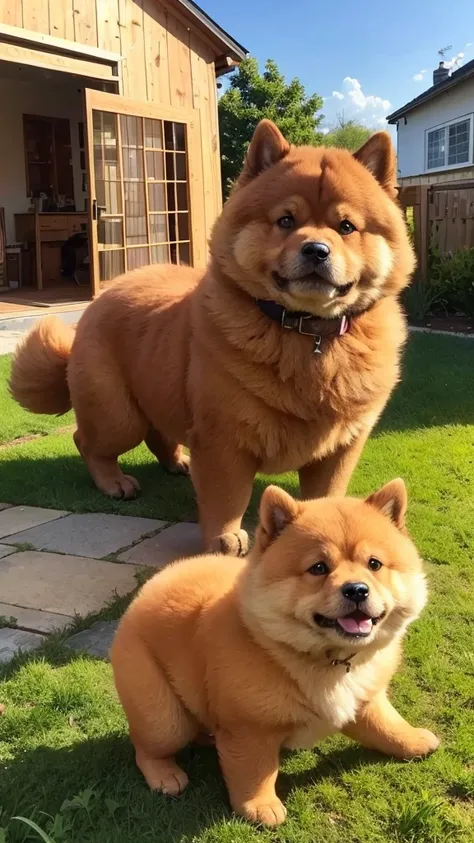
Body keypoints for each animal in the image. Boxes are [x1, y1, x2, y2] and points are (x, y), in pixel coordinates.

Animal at [10, 120, 414, 552]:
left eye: (346, 227)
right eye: (286, 221)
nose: (317, 249)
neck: (308, 333)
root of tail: (104, 294)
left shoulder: (342, 446)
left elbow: (328, 493)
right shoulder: (224, 438)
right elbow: (226, 495)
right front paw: (224, 538)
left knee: (159, 436)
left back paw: (178, 464)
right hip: (117, 414)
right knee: (88, 442)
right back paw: (116, 483)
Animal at [110, 478, 436, 828]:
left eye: (374, 564)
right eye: (318, 568)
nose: (357, 589)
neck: (329, 660)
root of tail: (148, 588)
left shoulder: (365, 699)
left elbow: (386, 724)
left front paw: (413, 741)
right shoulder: (250, 727)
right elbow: (255, 770)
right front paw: (259, 806)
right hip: (163, 716)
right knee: (146, 745)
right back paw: (165, 775)